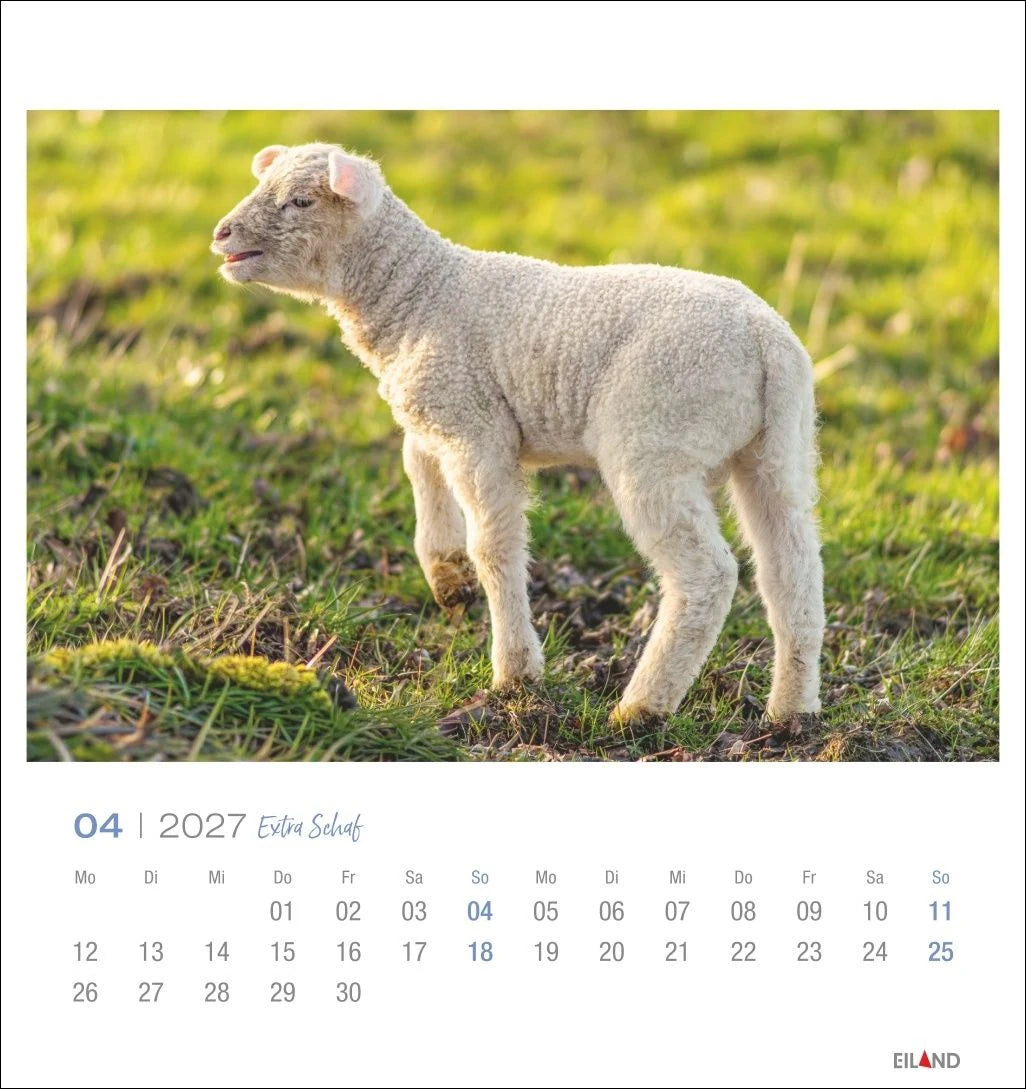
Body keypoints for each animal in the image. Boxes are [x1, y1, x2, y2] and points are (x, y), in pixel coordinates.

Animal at [211, 142, 825, 725]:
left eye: (301, 201)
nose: (221, 234)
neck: (417, 294)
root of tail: (766, 337)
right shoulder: (443, 408)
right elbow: (417, 465)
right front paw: (445, 574)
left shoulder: (477, 431)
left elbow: (495, 547)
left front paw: (516, 672)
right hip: (778, 449)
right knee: (792, 573)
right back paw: (791, 711)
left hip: (655, 439)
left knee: (708, 576)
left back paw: (641, 707)